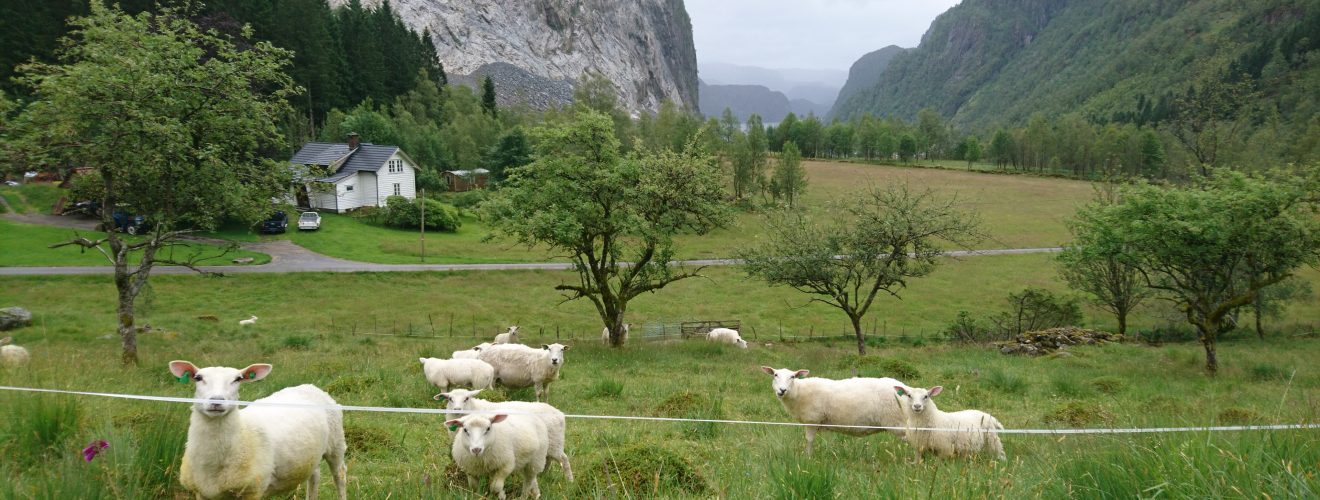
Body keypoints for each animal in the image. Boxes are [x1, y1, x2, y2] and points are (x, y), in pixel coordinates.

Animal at [167, 361, 348, 498]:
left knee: (340, 475)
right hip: (312, 454)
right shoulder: (202, 493)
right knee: (314, 476)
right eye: (198, 378)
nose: (217, 401)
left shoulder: (252, 490)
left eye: (238, 379)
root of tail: (310, 386)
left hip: (336, 443)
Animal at [438, 387, 572, 482]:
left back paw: (569, 481)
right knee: (548, 460)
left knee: (564, 459)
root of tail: (559, 413)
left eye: (466, 398)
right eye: (450, 399)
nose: (457, 409)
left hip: (555, 443)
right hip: (548, 445)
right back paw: (542, 476)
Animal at [765, 366, 908, 456]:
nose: (782, 390)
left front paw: (808, 458)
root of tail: (906, 389)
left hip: (898, 422)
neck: (799, 391)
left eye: (793, 376)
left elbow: (809, 440)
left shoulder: (812, 420)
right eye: (775, 375)